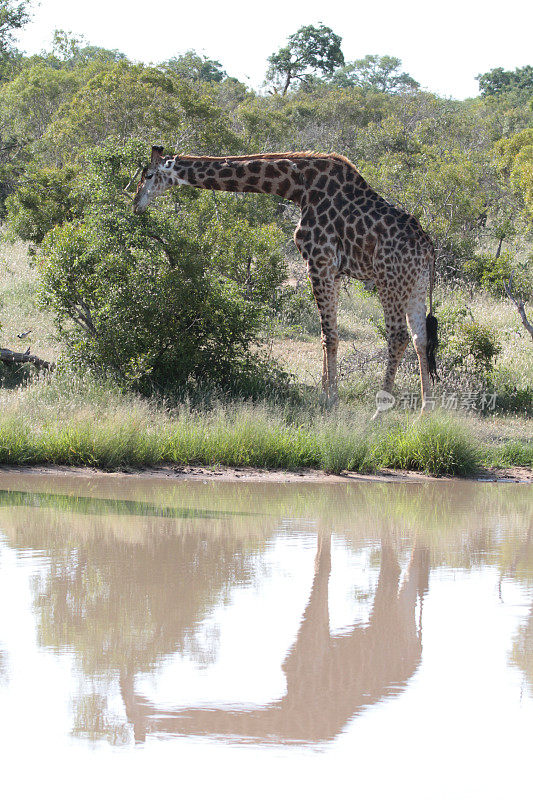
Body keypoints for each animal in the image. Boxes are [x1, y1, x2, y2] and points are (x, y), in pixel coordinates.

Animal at [133, 145, 436, 406]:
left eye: (148, 175)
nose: (136, 204)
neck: (298, 188)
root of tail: (427, 248)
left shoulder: (318, 261)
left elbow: (329, 334)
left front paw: (332, 401)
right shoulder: (334, 270)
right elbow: (327, 334)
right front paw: (324, 395)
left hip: (389, 281)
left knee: (398, 337)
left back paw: (379, 412)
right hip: (416, 285)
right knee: (420, 338)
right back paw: (425, 410)